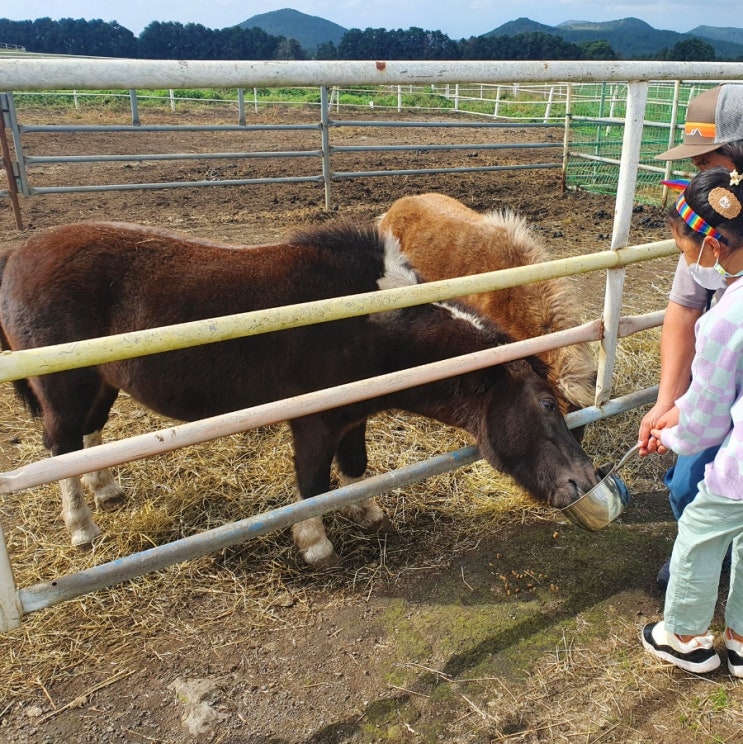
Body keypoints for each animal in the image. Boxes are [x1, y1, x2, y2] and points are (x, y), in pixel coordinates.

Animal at [0, 218, 600, 568]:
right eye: (548, 405)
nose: (586, 480)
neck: (371, 322)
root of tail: (20, 256)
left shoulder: (354, 416)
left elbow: (354, 468)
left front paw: (368, 512)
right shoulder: (314, 422)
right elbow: (312, 483)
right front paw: (315, 543)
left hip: (102, 382)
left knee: (88, 438)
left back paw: (106, 490)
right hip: (63, 389)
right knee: (59, 447)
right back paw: (82, 528)